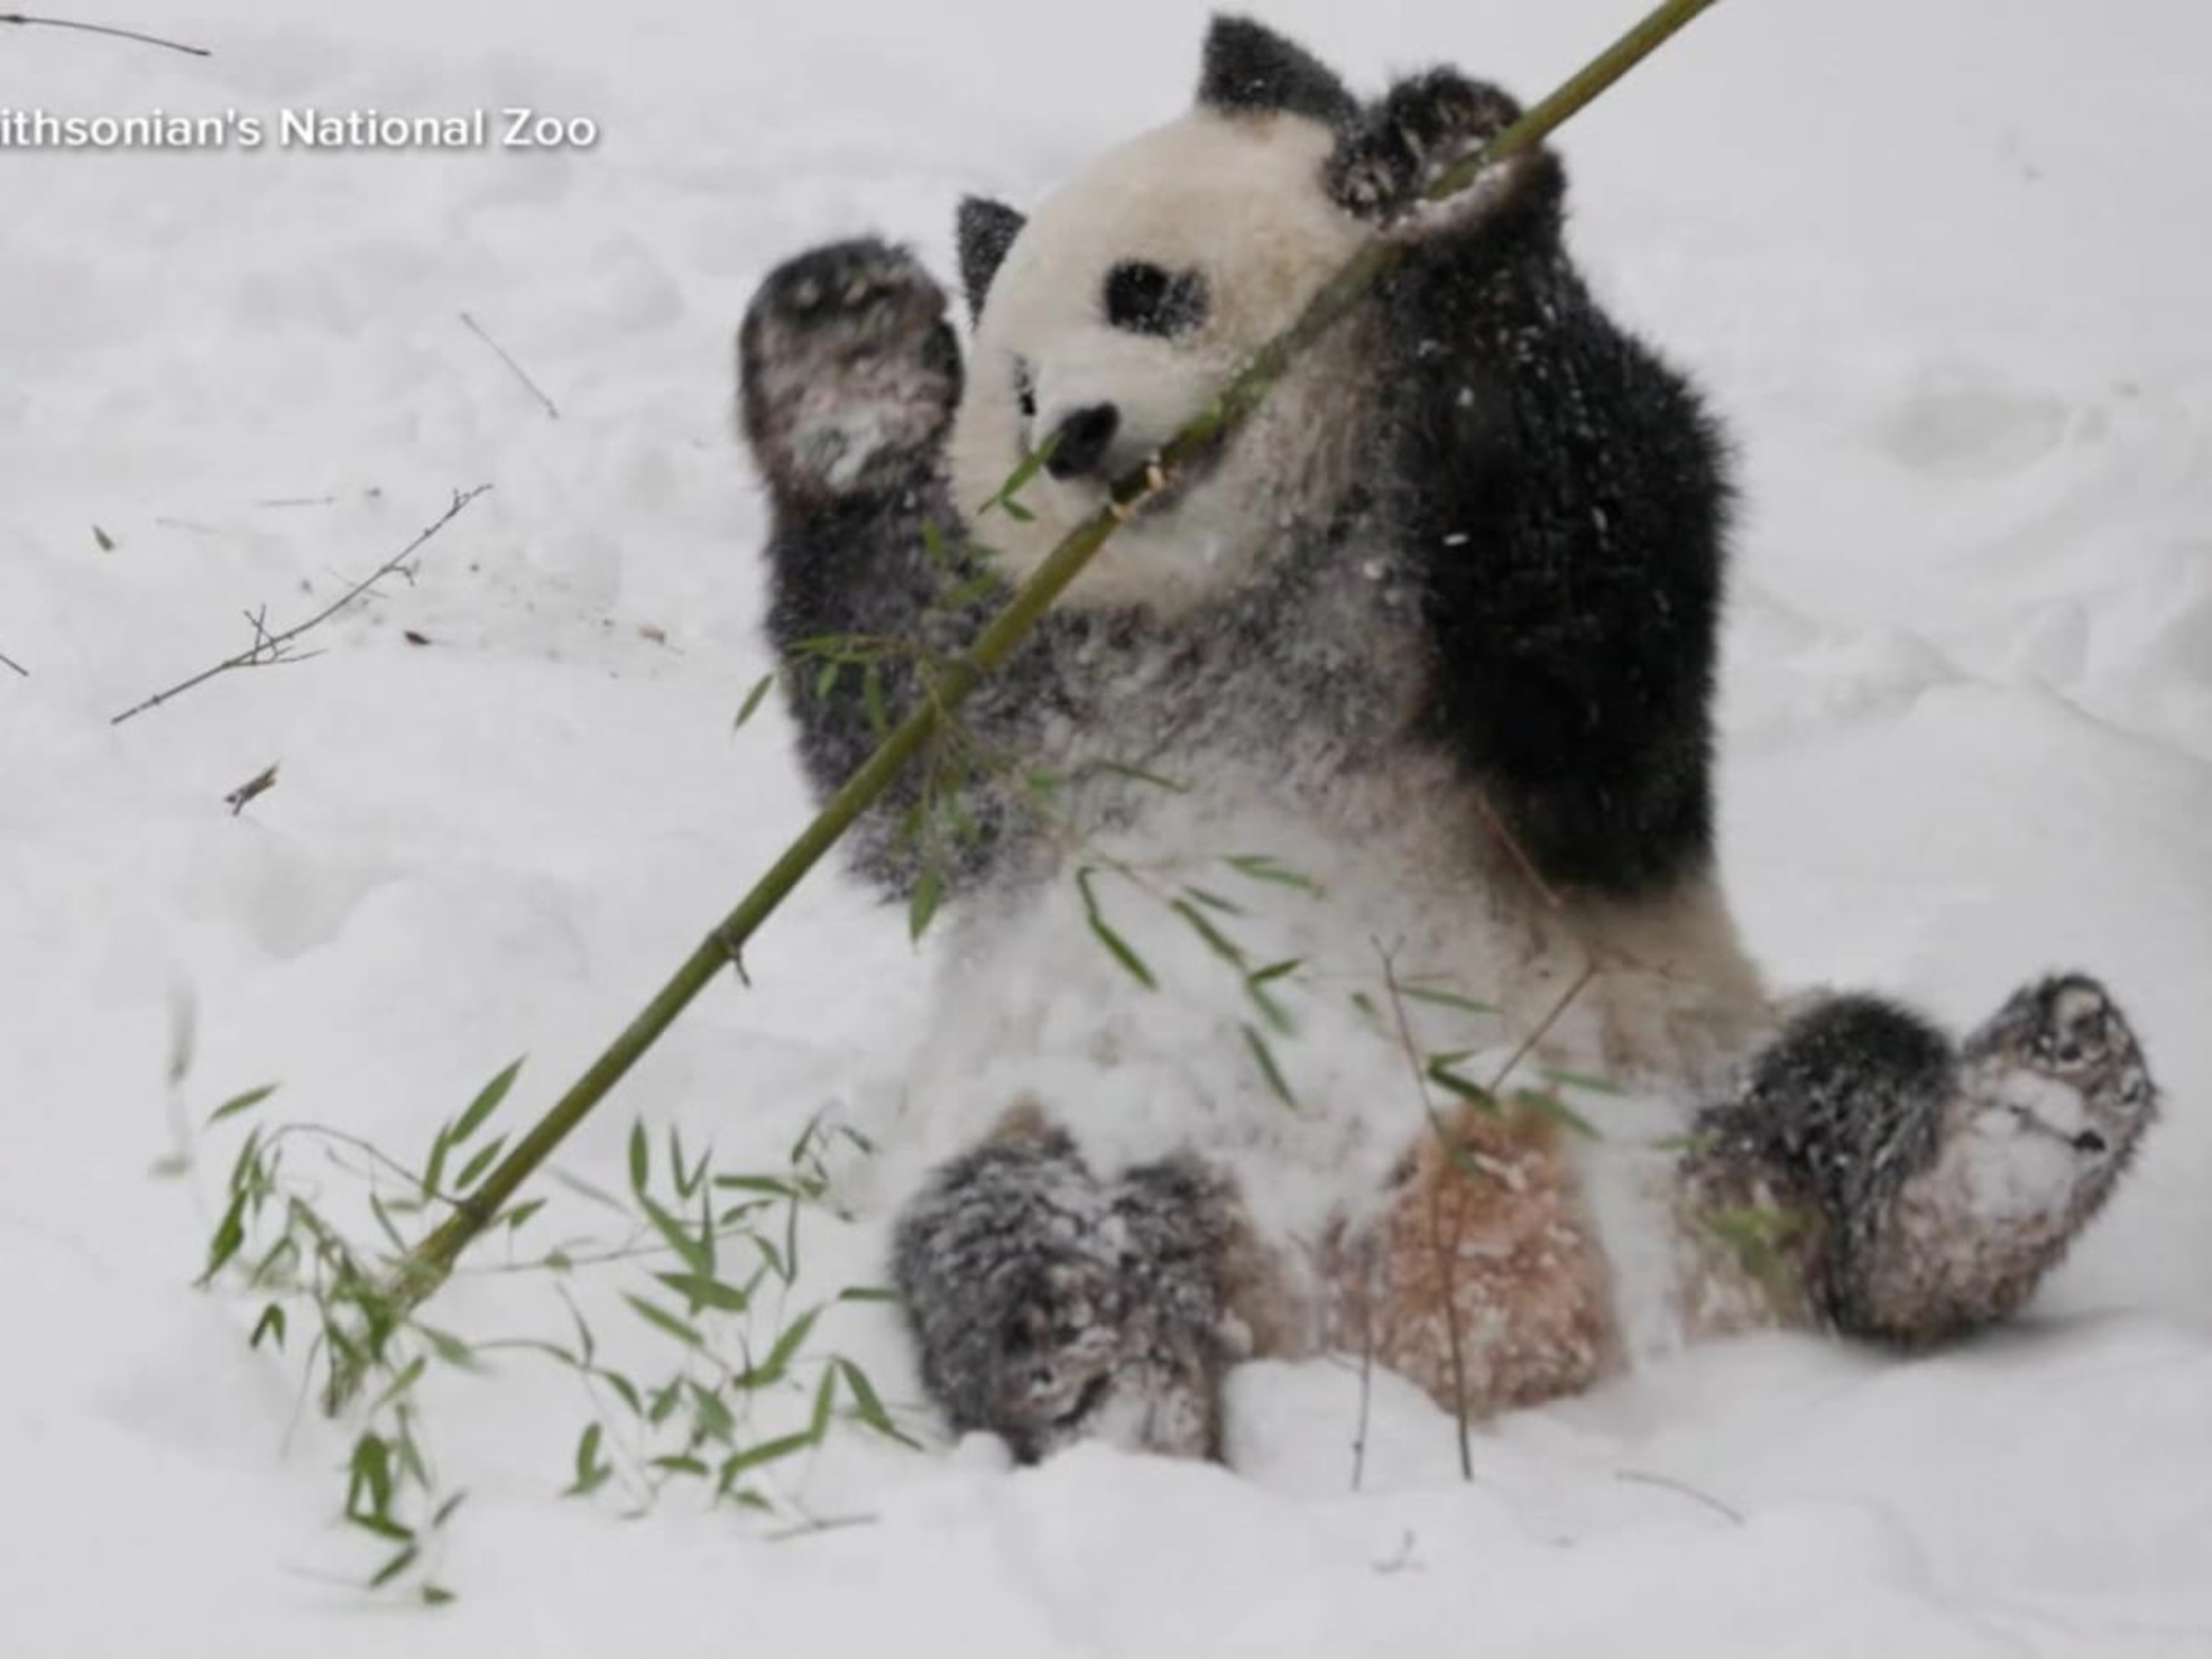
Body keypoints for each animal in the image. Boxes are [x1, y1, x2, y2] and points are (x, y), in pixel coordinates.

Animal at [736, 16, 2160, 1462]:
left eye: (1145, 292)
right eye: (1016, 393)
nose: (1077, 436)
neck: (1253, 591)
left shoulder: (1505, 651)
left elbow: (1591, 632)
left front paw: (1454, 179)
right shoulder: (1043, 702)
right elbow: (900, 725)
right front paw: (849, 361)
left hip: (1671, 1076)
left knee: (1843, 1092)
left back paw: (2009, 1138)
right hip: (1106, 1115)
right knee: (1006, 1223)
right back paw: (1099, 1366)